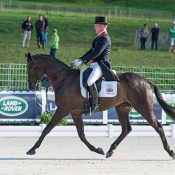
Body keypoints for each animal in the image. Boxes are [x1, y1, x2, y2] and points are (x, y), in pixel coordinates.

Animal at [25, 53, 175, 159]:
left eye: (31, 67)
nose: (31, 86)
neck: (64, 79)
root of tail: (144, 80)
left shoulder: (63, 110)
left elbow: (47, 129)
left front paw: (32, 149)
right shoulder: (75, 113)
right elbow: (81, 135)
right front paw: (98, 150)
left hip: (143, 107)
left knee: (158, 127)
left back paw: (170, 152)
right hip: (122, 108)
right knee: (126, 129)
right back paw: (110, 150)